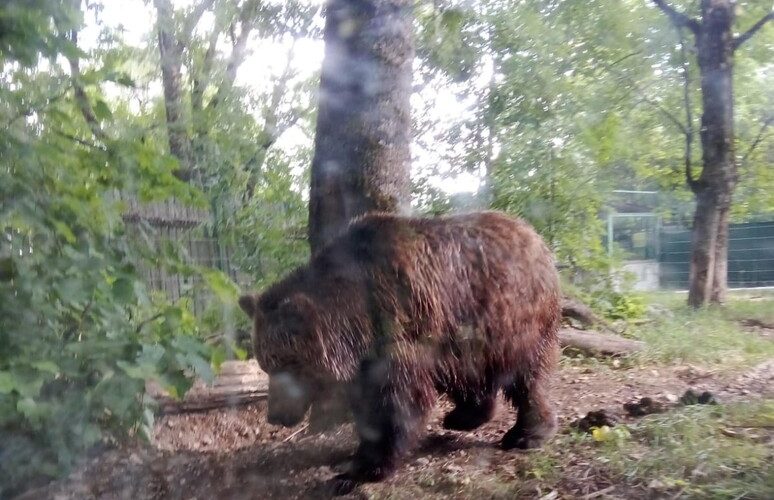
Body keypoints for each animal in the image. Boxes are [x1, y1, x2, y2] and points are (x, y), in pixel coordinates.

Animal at [238, 211, 560, 487]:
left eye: (287, 363)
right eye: (266, 364)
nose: (275, 415)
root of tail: (535, 237)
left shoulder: (400, 330)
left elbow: (397, 403)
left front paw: (365, 467)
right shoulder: (365, 361)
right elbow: (368, 404)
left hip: (512, 318)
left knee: (526, 377)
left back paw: (526, 434)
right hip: (467, 332)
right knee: (473, 374)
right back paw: (463, 416)